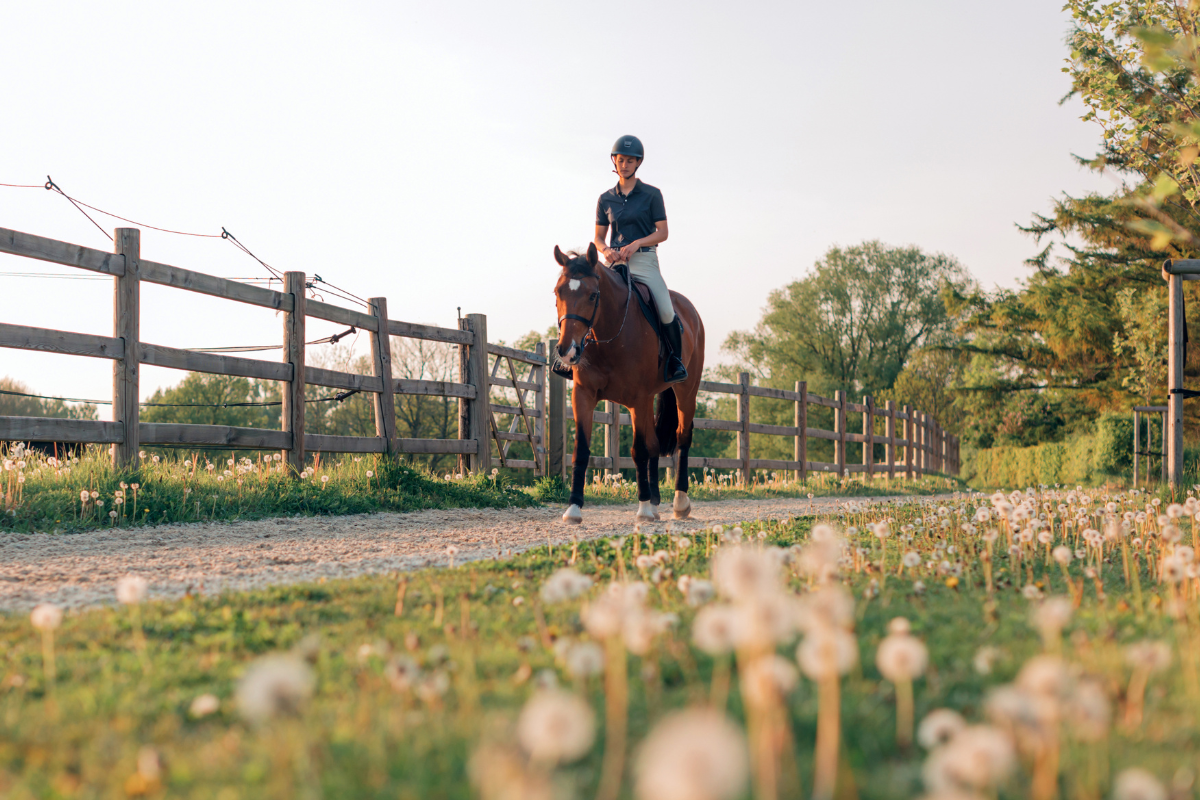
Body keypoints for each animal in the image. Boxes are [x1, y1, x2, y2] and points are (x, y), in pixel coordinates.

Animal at [552, 243, 705, 524]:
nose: (567, 350)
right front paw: (574, 508)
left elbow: (638, 451)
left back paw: (680, 503)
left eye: (593, 296)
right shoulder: (583, 395)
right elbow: (581, 450)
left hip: (686, 392)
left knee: (682, 438)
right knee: (656, 444)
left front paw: (642, 508)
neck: (610, 334)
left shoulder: (638, 399)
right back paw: (655, 504)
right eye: (558, 292)